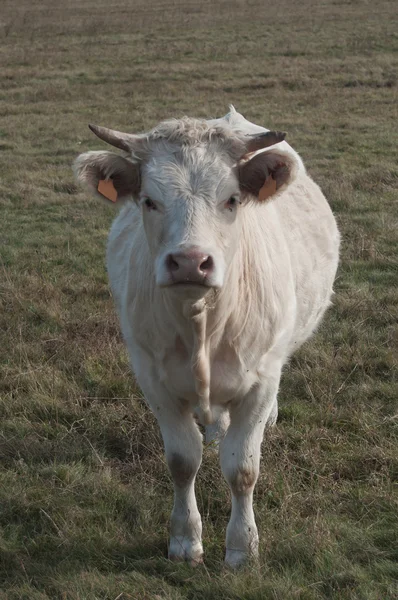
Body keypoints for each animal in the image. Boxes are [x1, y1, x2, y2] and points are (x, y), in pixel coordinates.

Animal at [74, 106, 338, 568]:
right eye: (149, 200)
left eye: (231, 199)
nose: (190, 262)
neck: (202, 325)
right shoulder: (154, 380)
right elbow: (183, 461)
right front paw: (184, 540)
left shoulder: (261, 380)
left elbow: (243, 469)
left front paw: (241, 546)